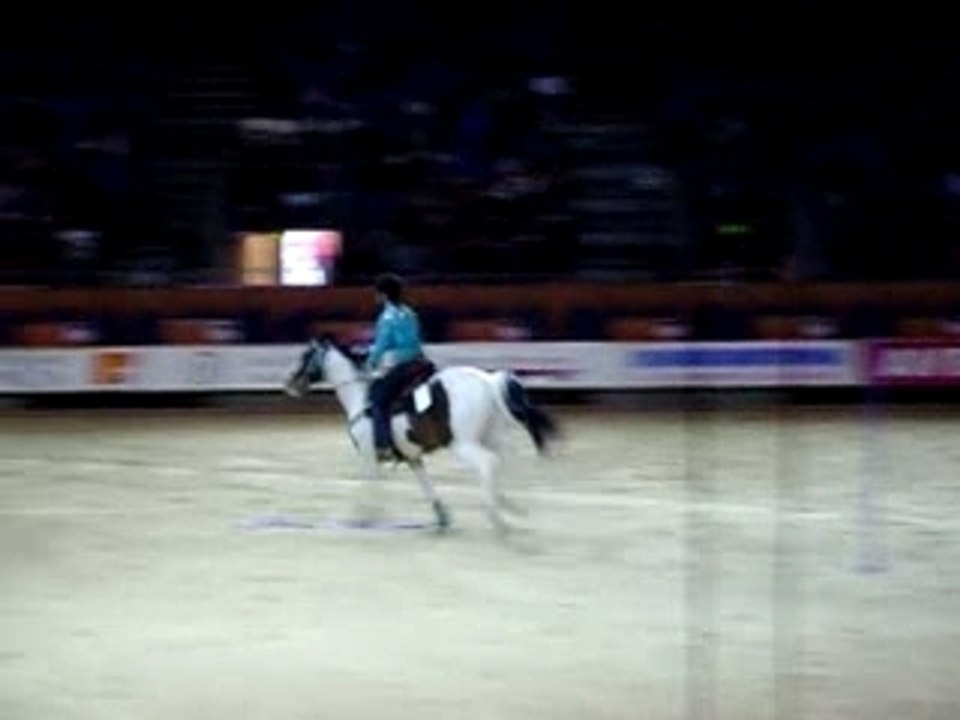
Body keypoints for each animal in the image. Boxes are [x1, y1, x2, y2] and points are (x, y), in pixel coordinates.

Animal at [283, 335, 558, 533]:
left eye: (306, 355)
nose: (289, 384)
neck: (361, 399)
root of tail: (488, 381)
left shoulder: (368, 455)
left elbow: (369, 484)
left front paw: (362, 517)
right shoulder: (412, 457)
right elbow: (426, 485)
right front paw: (442, 516)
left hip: (463, 444)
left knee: (488, 463)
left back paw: (496, 515)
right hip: (491, 436)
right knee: (506, 461)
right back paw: (511, 505)